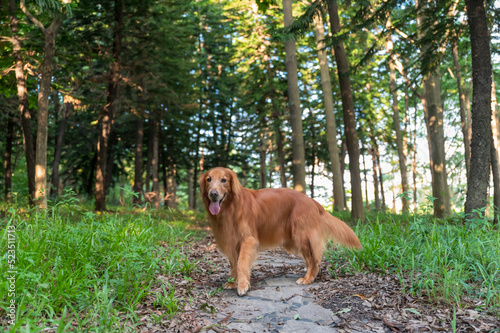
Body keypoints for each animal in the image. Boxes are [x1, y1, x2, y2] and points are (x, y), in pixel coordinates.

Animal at [200, 167, 364, 294]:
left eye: (224, 180)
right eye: (209, 179)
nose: (213, 194)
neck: (231, 207)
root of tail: (312, 201)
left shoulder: (248, 240)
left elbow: (241, 263)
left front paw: (242, 286)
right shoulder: (232, 241)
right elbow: (234, 264)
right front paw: (233, 282)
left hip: (301, 236)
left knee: (314, 261)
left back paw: (307, 279)